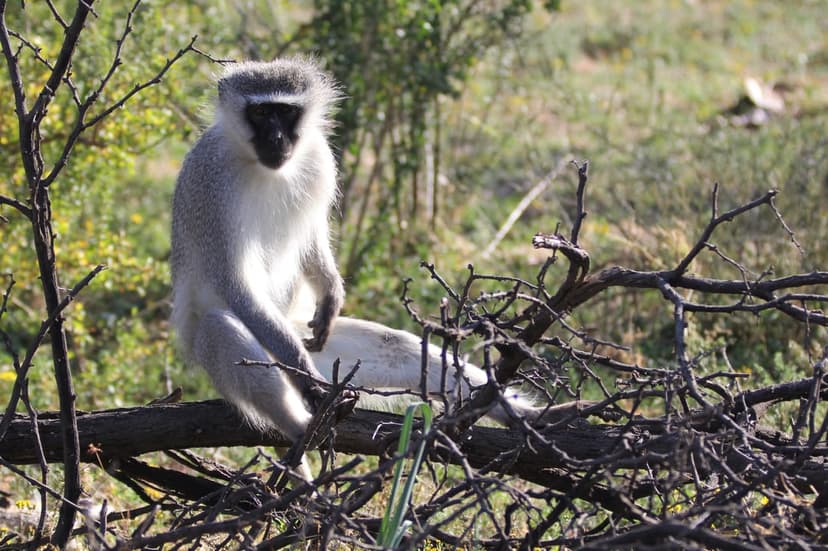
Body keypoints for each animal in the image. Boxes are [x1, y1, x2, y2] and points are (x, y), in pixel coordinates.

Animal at [171, 58, 584, 478]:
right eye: (259, 113)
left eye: (285, 112)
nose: (276, 139)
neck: (264, 167)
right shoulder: (211, 184)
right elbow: (236, 285)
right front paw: (312, 389)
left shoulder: (319, 158)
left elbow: (312, 238)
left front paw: (331, 294)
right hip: (266, 342)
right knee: (218, 327)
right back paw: (303, 426)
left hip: (318, 347)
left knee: (398, 347)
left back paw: (518, 413)